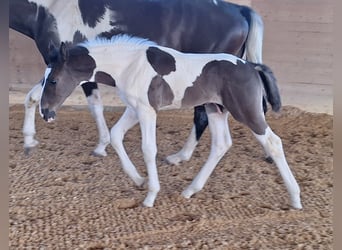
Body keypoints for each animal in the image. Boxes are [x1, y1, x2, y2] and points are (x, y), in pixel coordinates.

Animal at [9, 0, 264, 162]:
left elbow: (92, 105)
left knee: (202, 116)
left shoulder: (74, 69)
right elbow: (34, 97)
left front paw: (101, 146)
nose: (48, 116)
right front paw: (29, 141)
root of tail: (239, 9)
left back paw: (180, 157)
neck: (51, 8)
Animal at [39, 36, 302, 209]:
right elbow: (115, 135)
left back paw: (295, 198)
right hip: (215, 108)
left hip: (246, 111)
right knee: (221, 144)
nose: (45, 113)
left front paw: (150, 196)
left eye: (53, 80)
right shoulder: (134, 108)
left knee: (273, 142)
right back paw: (189, 190)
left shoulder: (147, 111)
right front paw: (139, 179)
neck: (129, 66)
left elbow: (148, 149)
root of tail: (250, 66)